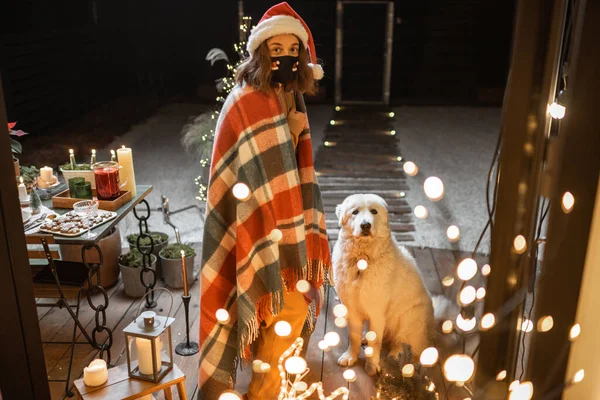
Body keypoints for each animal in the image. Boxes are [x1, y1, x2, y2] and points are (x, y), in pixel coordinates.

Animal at [332, 193, 436, 376]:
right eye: (355, 212)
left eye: (374, 211)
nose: (365, 225)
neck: (362, 261)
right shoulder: (352, 308)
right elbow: (354, 337)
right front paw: (350, 356)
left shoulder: (376, 311)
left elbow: (375, 343)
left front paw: (372, 366)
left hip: (408, 317)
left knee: (407, 344)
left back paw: (396, 355)